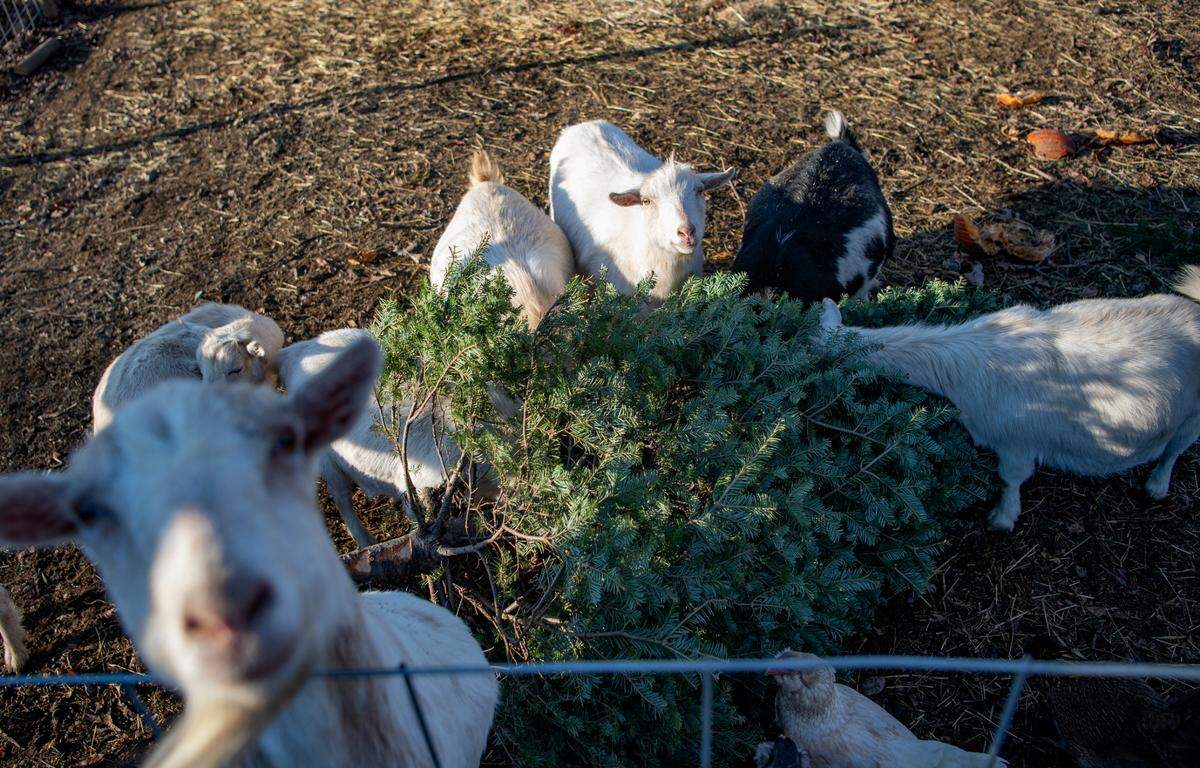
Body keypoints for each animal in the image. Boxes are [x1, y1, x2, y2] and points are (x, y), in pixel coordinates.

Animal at [819, 267, 1200, 531]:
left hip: (1192, 416)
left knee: (1175, 449)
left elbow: (1010, 478)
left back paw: (1156, 485)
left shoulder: (1016, 442)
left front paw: (1002, 518)